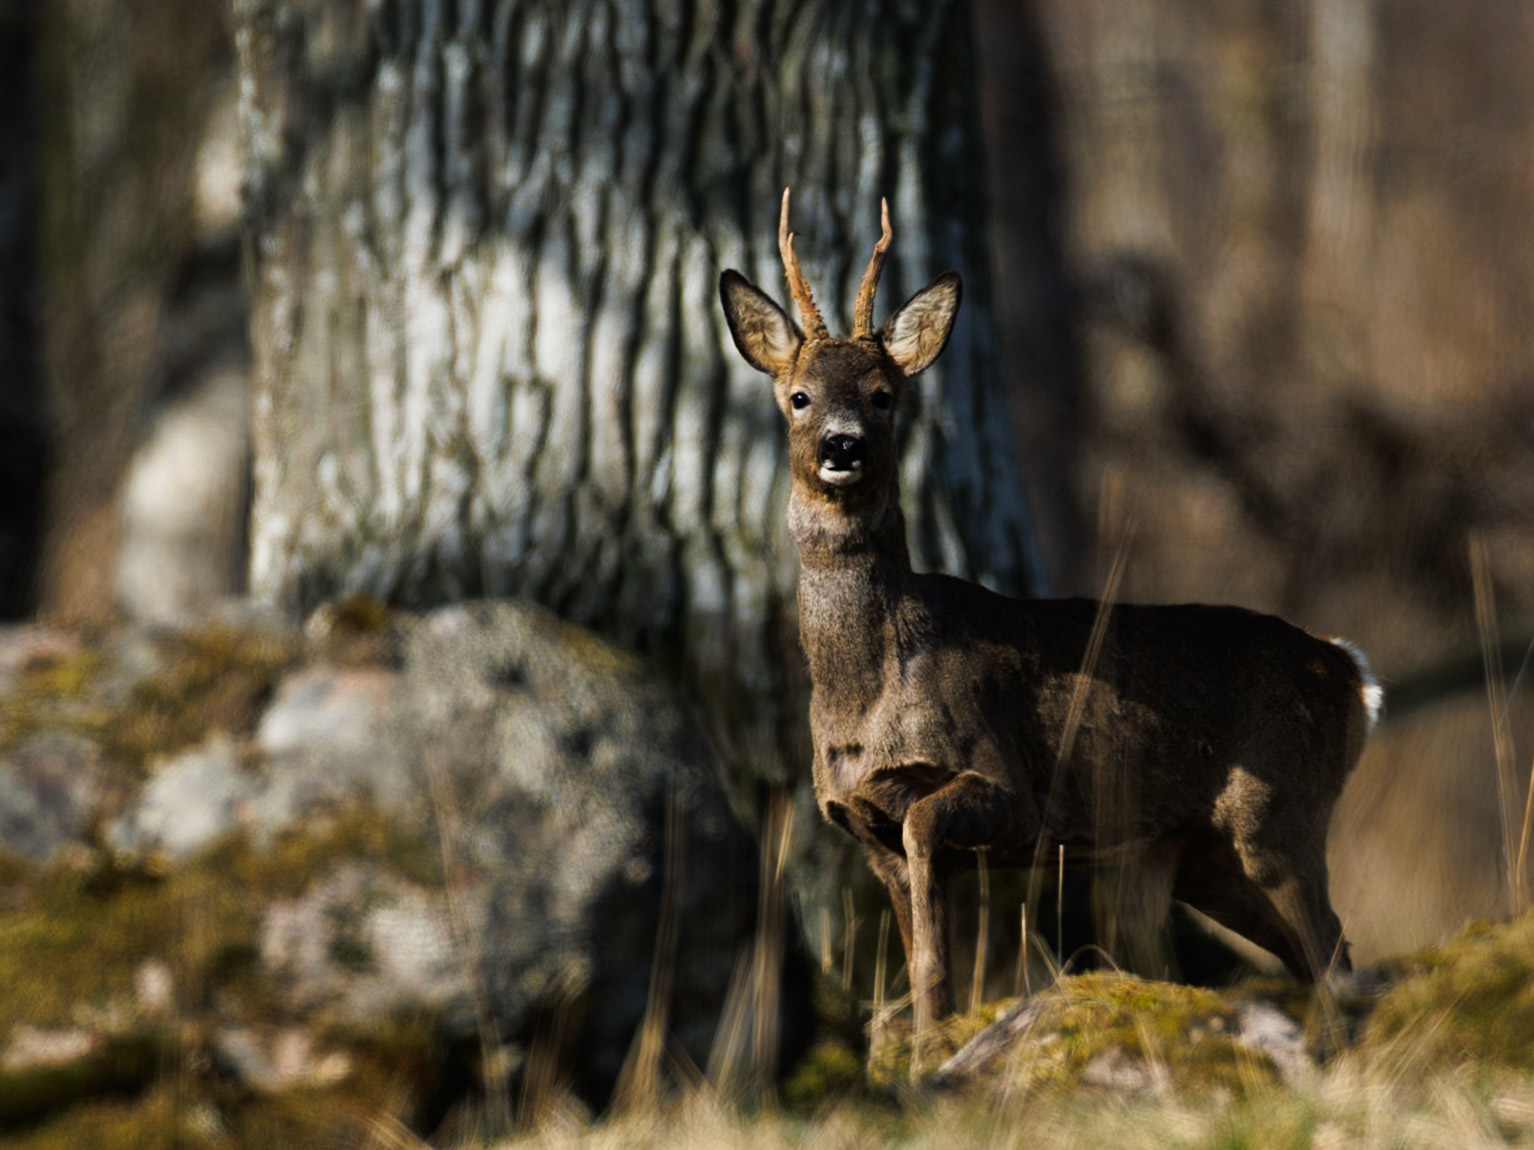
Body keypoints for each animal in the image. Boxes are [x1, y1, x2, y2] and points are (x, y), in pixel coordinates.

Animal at [718, 190, 1383, 1040]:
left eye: (883, 395)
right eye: (799, 397)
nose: (843, 445)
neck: (866, 695)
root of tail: (1350, 671)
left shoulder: (1009, 785)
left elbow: (930, 884)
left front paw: (935, 1037)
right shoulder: (860, 824)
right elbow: (920, 944)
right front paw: (925, 1036)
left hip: (1282, 811)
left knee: (1330, 947)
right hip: (1202, 854)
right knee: (1320, 950)